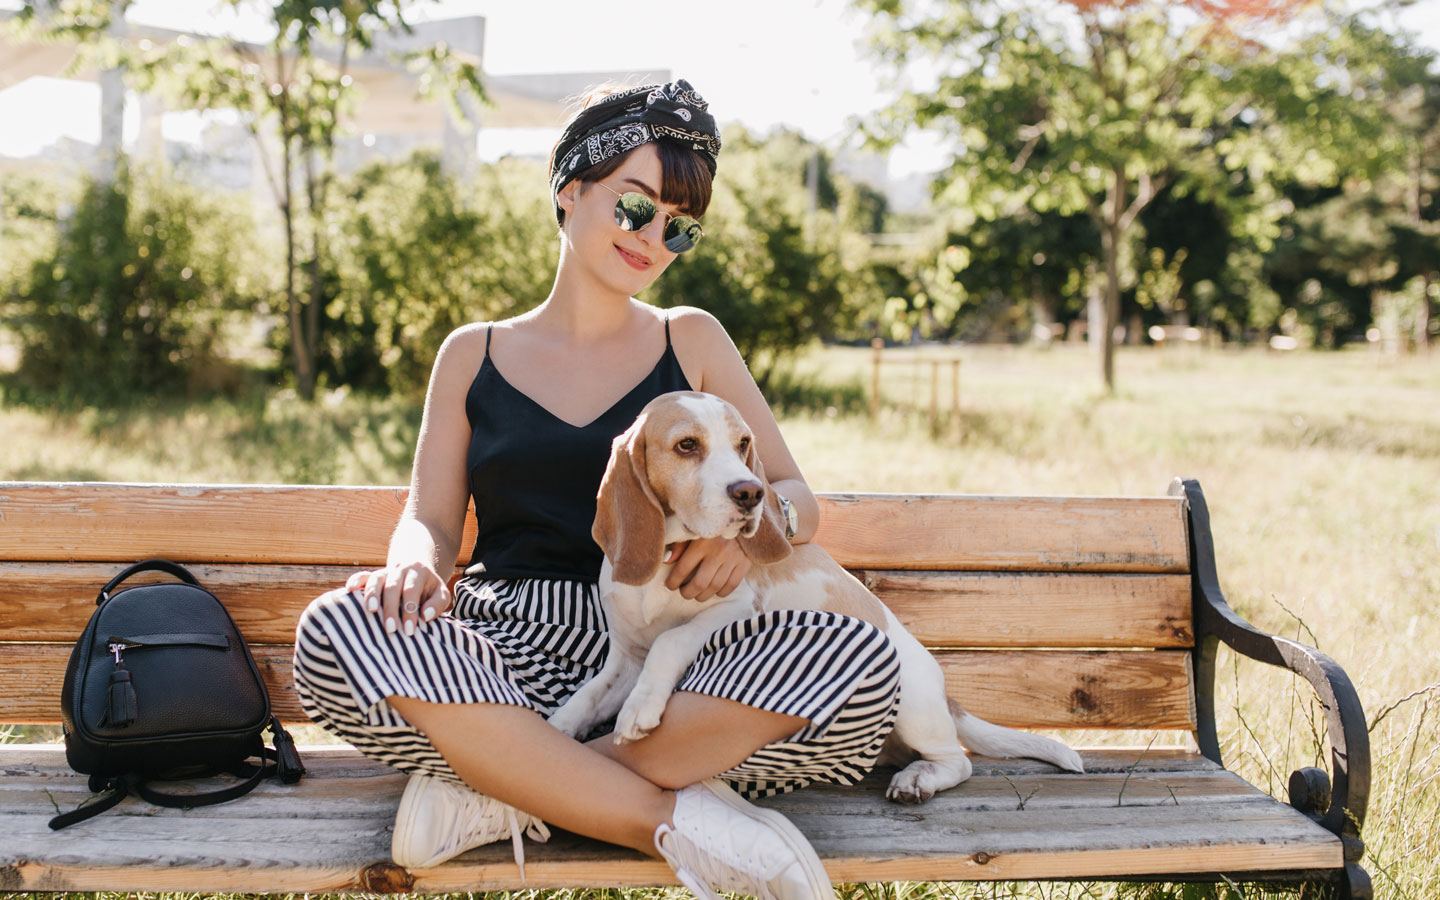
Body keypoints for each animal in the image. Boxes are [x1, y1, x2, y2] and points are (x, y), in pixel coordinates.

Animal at [546, 390, 1084, 803]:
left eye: (743, 443)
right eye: (686, 445)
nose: (750, 493)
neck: (665, 559)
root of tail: (947, 694)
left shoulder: (730, 610)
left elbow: (670, 641)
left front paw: (639, 709)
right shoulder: (626, 656)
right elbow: (589, 693)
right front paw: (558, 728)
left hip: (910, 698)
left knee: (958, 761)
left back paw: (919, 780)